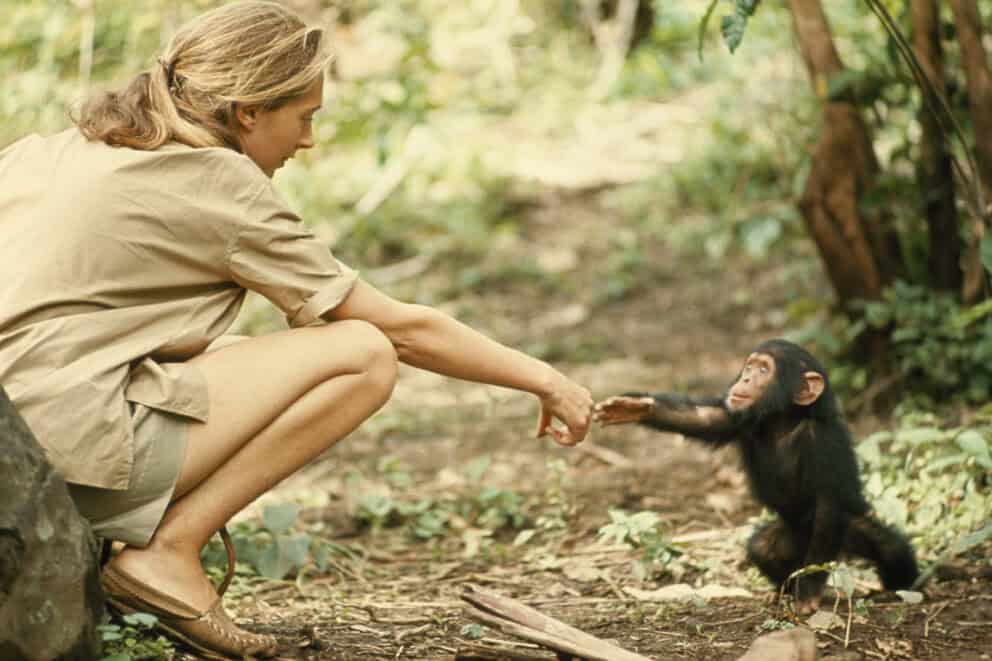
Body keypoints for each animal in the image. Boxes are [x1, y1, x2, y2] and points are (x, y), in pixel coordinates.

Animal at [593, 339, 919, 614]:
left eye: (764, 370)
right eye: (750, 366)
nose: (746, 378)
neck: (784, 420)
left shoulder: (824, 443)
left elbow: (828, 505)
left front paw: (810, 593)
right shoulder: (738, 417)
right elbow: (702, 419)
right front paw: (634, 407)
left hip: (844, 533)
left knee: (890, 549)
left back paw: (904, 586)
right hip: (790, 539)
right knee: (763, 549)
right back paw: (783, 589)